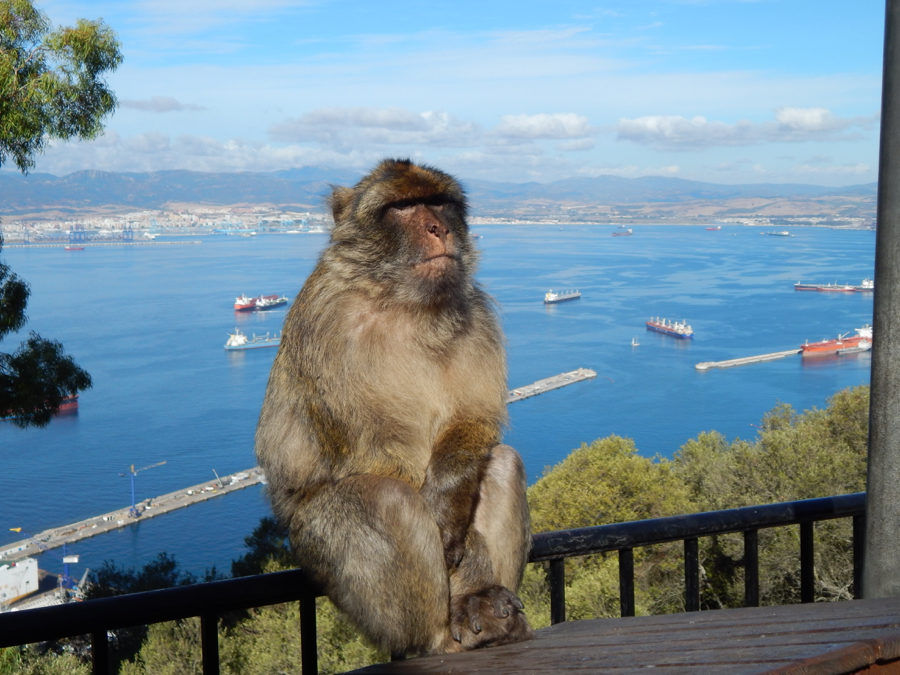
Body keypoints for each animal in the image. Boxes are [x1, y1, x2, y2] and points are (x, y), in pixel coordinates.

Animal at [255, 158, 532, 658]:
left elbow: (473, 420)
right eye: (401, 207)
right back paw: (439, 638)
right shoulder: (330, 325)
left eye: (438, 202)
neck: (404, 303)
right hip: (329, 564)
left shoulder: (475, 313)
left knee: (501, 463)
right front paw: (466, 563)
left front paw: (469, 563)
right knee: (383, 499)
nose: (438, 227)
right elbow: (382, 455)